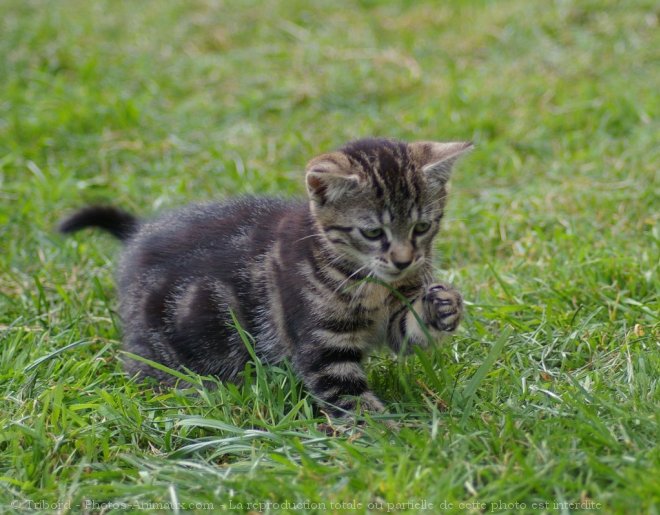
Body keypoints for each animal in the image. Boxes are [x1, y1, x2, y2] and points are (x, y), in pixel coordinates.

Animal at [59, 139, 472, 422]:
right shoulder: (322, 343)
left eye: (422, 227)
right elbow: (346, 392)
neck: (366, 281)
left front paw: (443, 305)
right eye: (372, 233)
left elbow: (406, 329)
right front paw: (385, 433)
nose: (405, 261)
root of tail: (139, 233)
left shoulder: (393, 312)